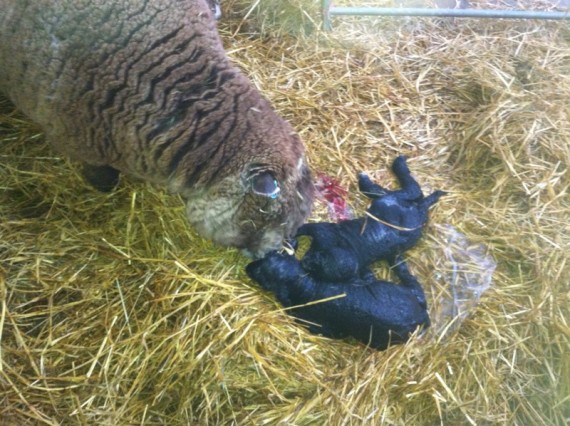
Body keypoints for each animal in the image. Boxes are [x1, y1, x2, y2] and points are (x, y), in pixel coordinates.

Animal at [298, 156, 444, 282]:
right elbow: (307, 228)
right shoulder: (324, 234)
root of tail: (418, 207)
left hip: (392, 200)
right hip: (391, 199)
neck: (349, 248)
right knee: (410, 191)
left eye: (317, 270)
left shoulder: (325, 233)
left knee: (410, 190)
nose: (304, 261)